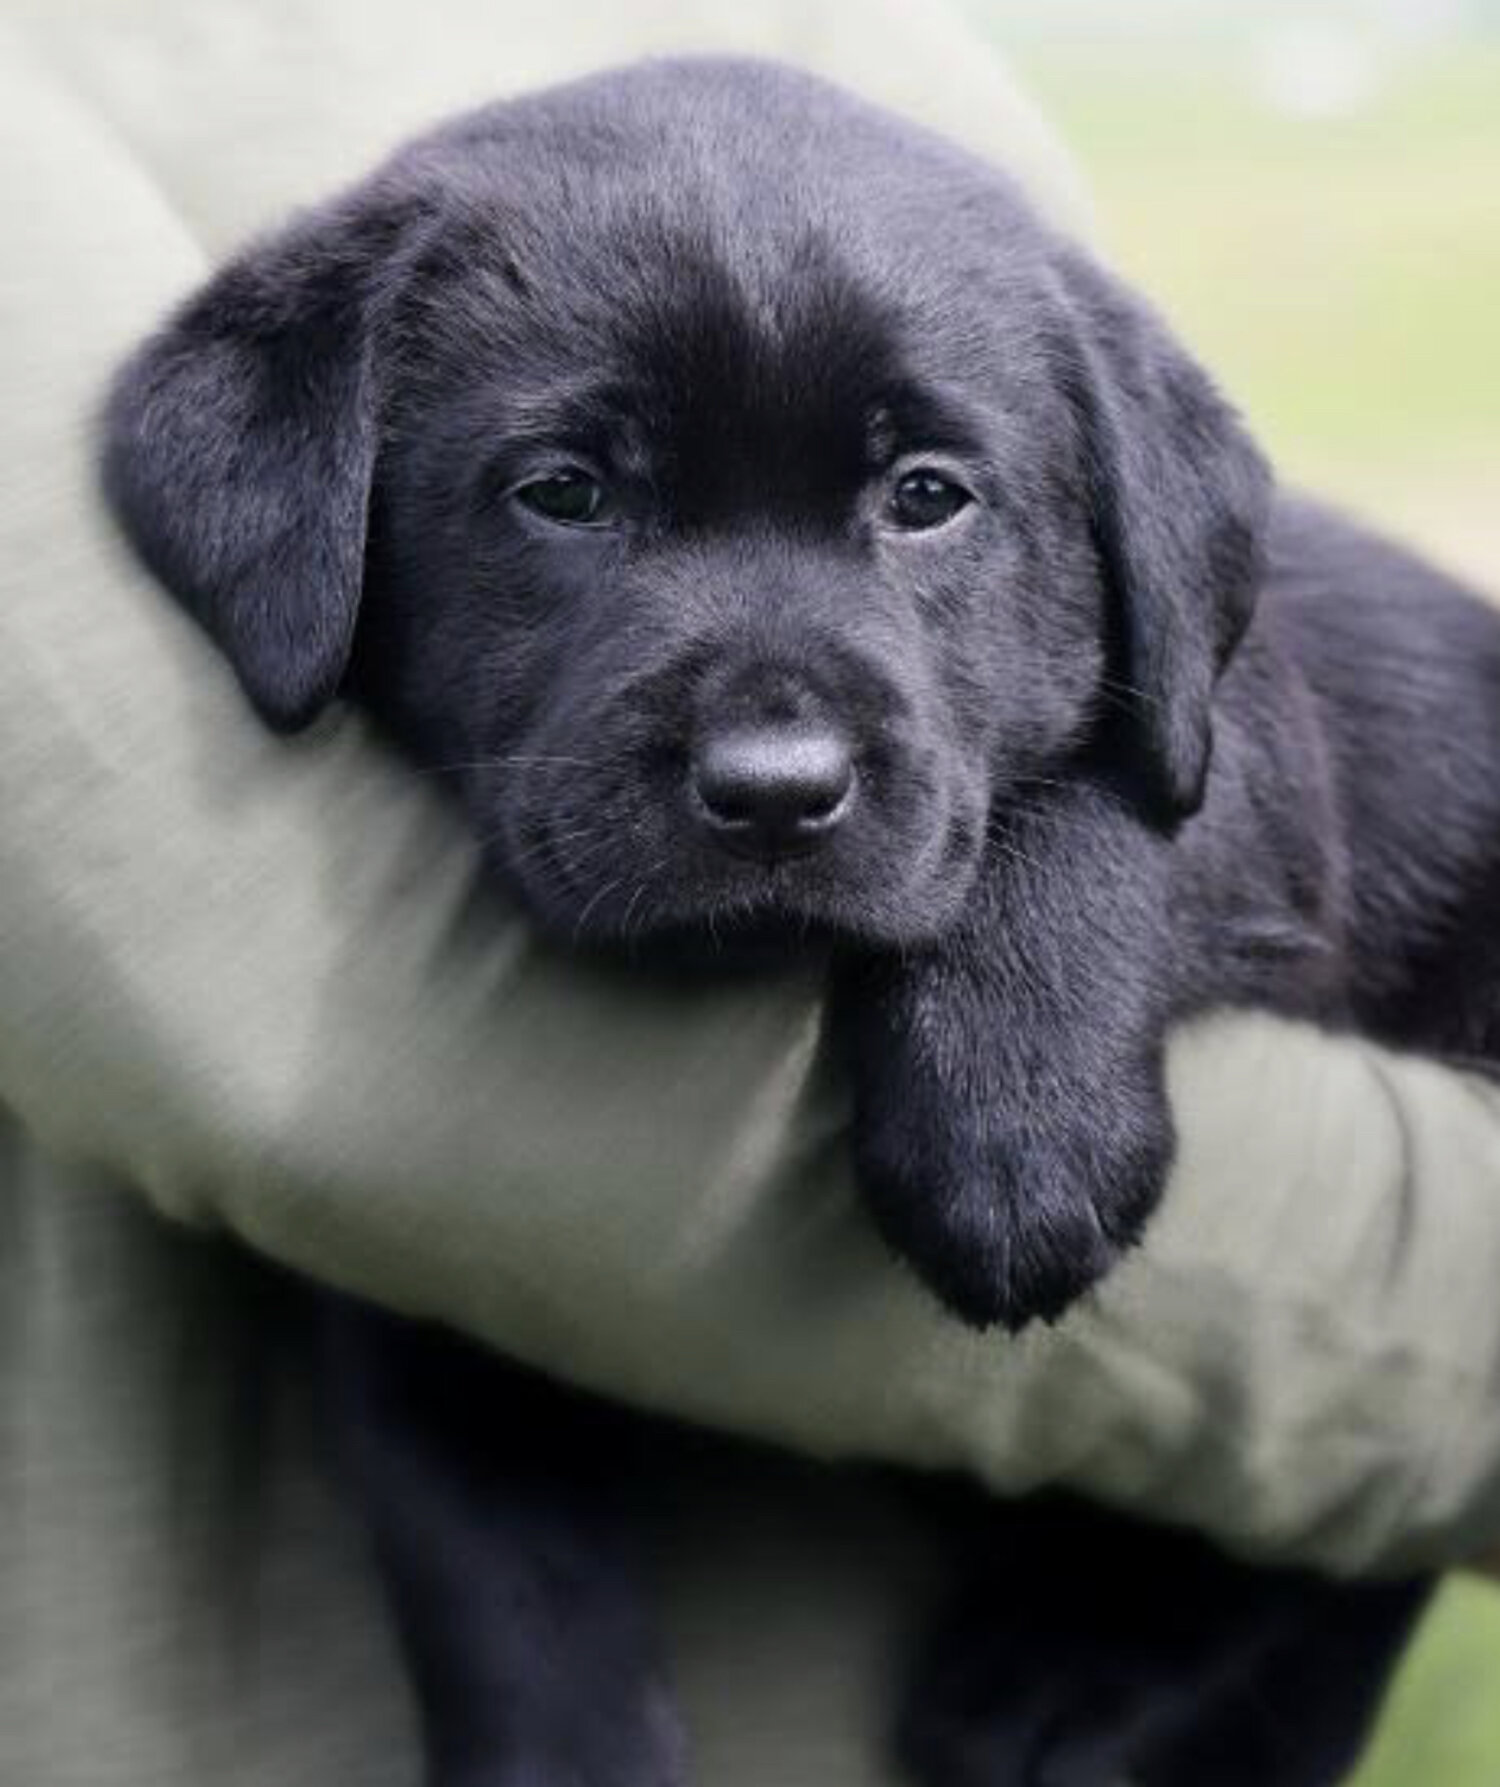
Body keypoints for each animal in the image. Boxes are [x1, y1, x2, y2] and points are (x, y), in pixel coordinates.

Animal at [99, 55, 1494, 1787]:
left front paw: (1015, 1131)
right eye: (562, 492)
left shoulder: (1239, 726)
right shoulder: (398, 1282)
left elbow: (1105, 792)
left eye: (927, 498)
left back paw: (1074, 1675)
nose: (774, 790)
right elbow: (495, 1573)